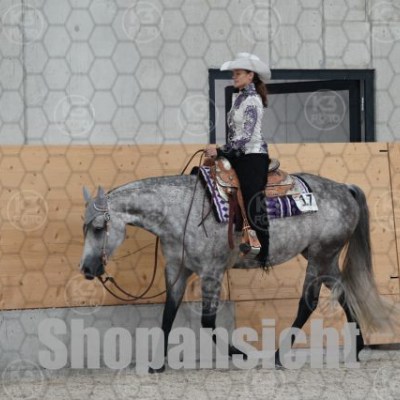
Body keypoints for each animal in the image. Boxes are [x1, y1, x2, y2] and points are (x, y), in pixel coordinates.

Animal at [79, 169, 395, 371]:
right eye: (84, 228)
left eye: (99, 228)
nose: (86, 268)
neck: (181, 212)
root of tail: (344, 188)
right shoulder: (177, 270)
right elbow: (167, 315)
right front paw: (157, 364)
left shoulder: (212, 271)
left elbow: (208, 322)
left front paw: (241, 354)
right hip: (326, 259)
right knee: (343, 294)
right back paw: (356, 348)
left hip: (320, 256)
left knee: (308, 303)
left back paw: (278, 356)